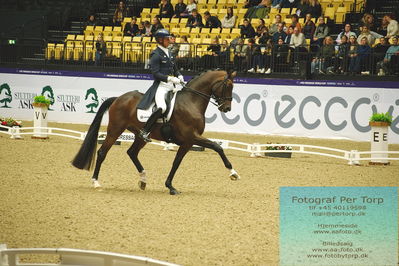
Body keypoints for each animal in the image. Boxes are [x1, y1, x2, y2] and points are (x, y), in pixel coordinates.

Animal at [72, 69, 241, 194]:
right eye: (228, 86)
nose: (227, 108)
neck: (191, 102)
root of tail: (118, 98)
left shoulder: (187, 142)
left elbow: (177, 162)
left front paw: (170, 186)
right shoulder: (191, 138)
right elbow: (217, 147)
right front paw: (233, 173)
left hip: (140, 135)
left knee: (132, 152)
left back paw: (143, 180)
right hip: (115, 129)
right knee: (102, 152)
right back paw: (96, 182)